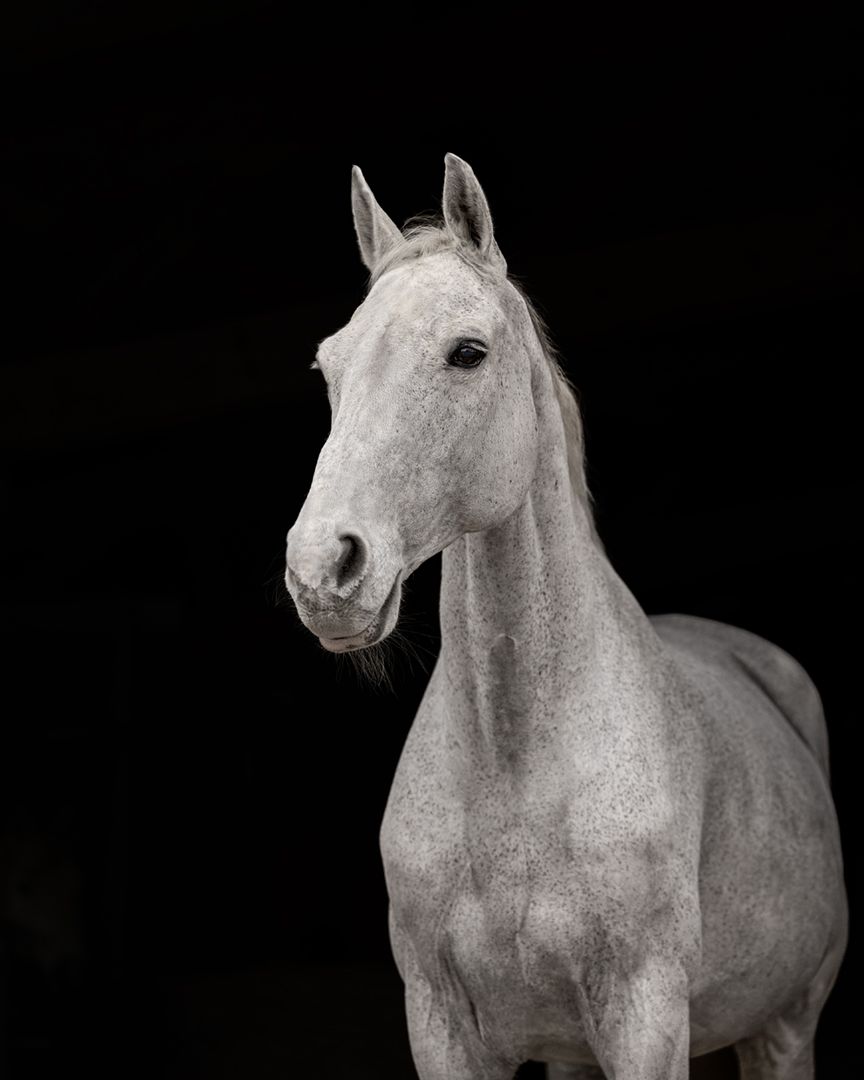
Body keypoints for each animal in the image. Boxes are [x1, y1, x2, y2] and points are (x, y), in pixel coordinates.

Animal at [283, 153, 847, 1080]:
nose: (322, 570)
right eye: (329, 366)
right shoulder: (440, 1026)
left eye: (467, 353)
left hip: (785, 1030)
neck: (516, 760)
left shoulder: (645, 1018)